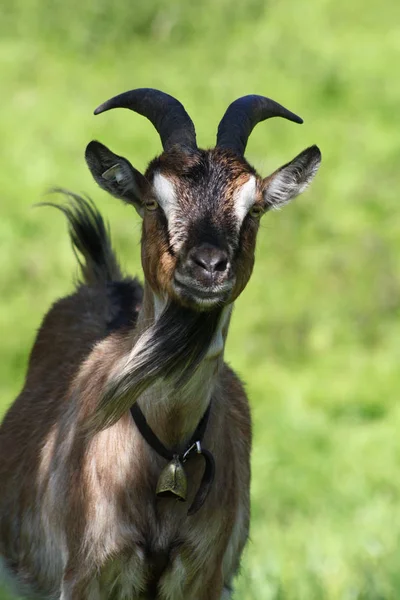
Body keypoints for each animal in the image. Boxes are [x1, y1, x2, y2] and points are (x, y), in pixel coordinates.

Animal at [0, 89, 318, 600]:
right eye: (153, 201)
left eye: (253, 209)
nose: (209, 266)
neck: (166, 449)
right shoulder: (86, 573)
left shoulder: (205, 575)